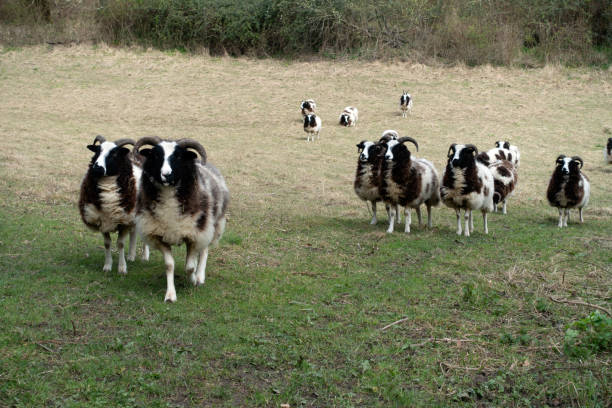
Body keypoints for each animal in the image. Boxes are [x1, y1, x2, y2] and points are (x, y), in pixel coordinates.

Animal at [78, 136, 149, 274]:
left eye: (114, 154)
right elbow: (107, 243)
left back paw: (145, 257)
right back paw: (131, 256)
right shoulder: (102, 220)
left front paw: (122, 268)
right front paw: (107, 266)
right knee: (133, 233)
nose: (97, 167)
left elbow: (120, 244)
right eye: (97, 151)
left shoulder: (124, 221)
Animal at [134, 138, 230, 302]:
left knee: (204, 251)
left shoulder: (195, 234)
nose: (166, 175)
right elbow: (169, 265)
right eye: (156, 155)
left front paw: (193, 280)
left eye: (178, 157)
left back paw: (200, 276)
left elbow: (189, 267)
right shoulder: (159, 236)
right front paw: (170, 294)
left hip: (211, 225)